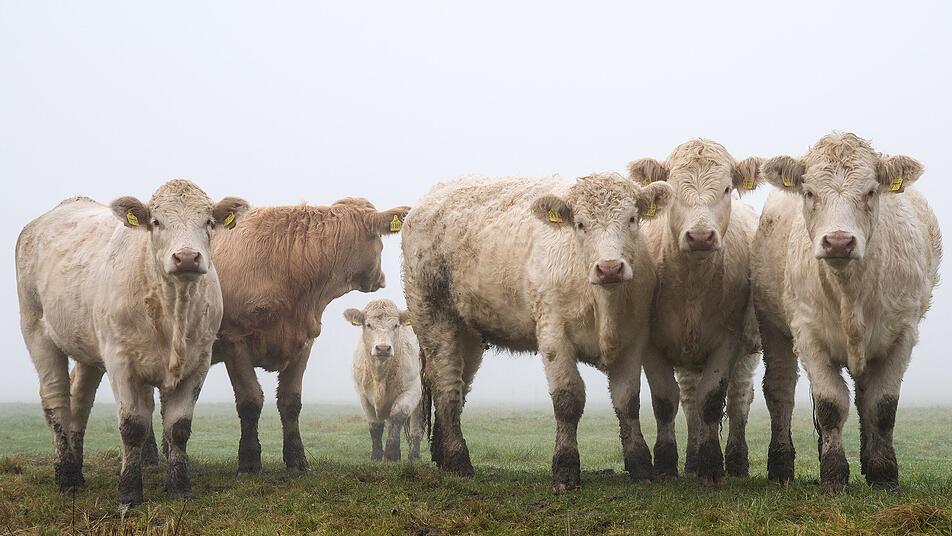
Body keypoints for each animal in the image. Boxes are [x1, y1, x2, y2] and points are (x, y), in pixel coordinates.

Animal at [15, 180, 248, 507]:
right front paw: (128, 492)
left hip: (88, 346)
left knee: (80, 400)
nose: (187, 258)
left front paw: (180, 488)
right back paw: (66, 477)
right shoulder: (121, 362)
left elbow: (179, 427)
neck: (173, 311)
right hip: (36, 328)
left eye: (209, 222)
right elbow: (132, 426)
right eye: (156, 222)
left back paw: (77, 470)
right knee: (56, 398)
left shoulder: (198, 363)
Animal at [345, 299, 424, 462]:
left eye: (396, 325)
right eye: (368, 324)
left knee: (416, 428)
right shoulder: (363, 396)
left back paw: (414, 456)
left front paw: (391, 455)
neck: (380, 377)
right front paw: (376, 456)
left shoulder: (412, 390)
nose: (382, 348)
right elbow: (375, 426)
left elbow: (397, 418)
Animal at [402, 173, 674, 491]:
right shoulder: (553, 334)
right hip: (433, 317)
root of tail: (429, 199)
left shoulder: (634, 338)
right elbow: (568, 400)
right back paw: (458, 461)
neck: (605, 305)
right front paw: (565, 469)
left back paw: (443, 455)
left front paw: (640, 464)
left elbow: (628, 401)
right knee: (447, 389)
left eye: (632, 219)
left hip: (467, 333)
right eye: (580, 224)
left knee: (456, 384)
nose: (609, 268)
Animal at [628, 140, 762, 484]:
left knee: (739, 399)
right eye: (672, 189)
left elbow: (712, 401)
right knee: (689, 401)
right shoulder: (651, 344)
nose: (700, 236)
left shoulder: (728, 341)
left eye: (727, 188)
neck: (692, 284)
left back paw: (736, 461)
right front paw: (665, 464)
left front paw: (712, 465)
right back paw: (691, 459)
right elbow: (666, 401)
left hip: (749, 351)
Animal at [752, 132, 942, 492]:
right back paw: (781, 466)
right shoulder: (807, 334)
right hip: (773, 328)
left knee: (865, 396)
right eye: (810, 193)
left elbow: (882, 406)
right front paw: (834, 475)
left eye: (870, 192)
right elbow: (830, 405)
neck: (849, 291)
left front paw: (884, 474)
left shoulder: (902, 334)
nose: (839, 241)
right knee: (780, 390)